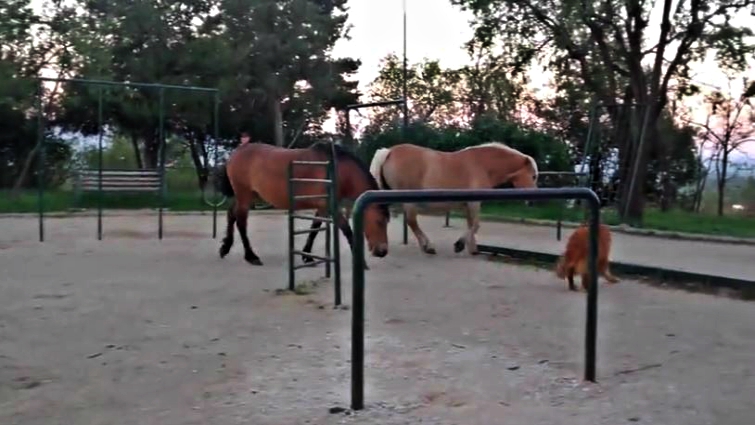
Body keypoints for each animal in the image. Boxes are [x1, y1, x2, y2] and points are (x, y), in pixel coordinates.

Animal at [216, 142, 390, 266]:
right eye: (379, 221)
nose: (382, 251)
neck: (337, 170)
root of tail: (235, 154)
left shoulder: (323, 207)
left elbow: (314, 229)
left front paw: (307, 256)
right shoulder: (330, 206)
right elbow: (347, 230)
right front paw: (361, 262)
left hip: (247, 196)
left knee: (231, 214)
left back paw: (225, 248)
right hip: (244, 195)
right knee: (241, 222)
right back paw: (251, 256)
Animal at [369, 142, 539, 255]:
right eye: (533, 176)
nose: (533, 201)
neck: (482, 165)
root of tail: (389, 151)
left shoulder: (469, 205)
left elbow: (471, 224)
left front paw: (473, 249)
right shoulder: (474, 203)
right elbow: (476, 225)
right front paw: (459, 245)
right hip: (409, 202)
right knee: (412, 222)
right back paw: (428, 246)